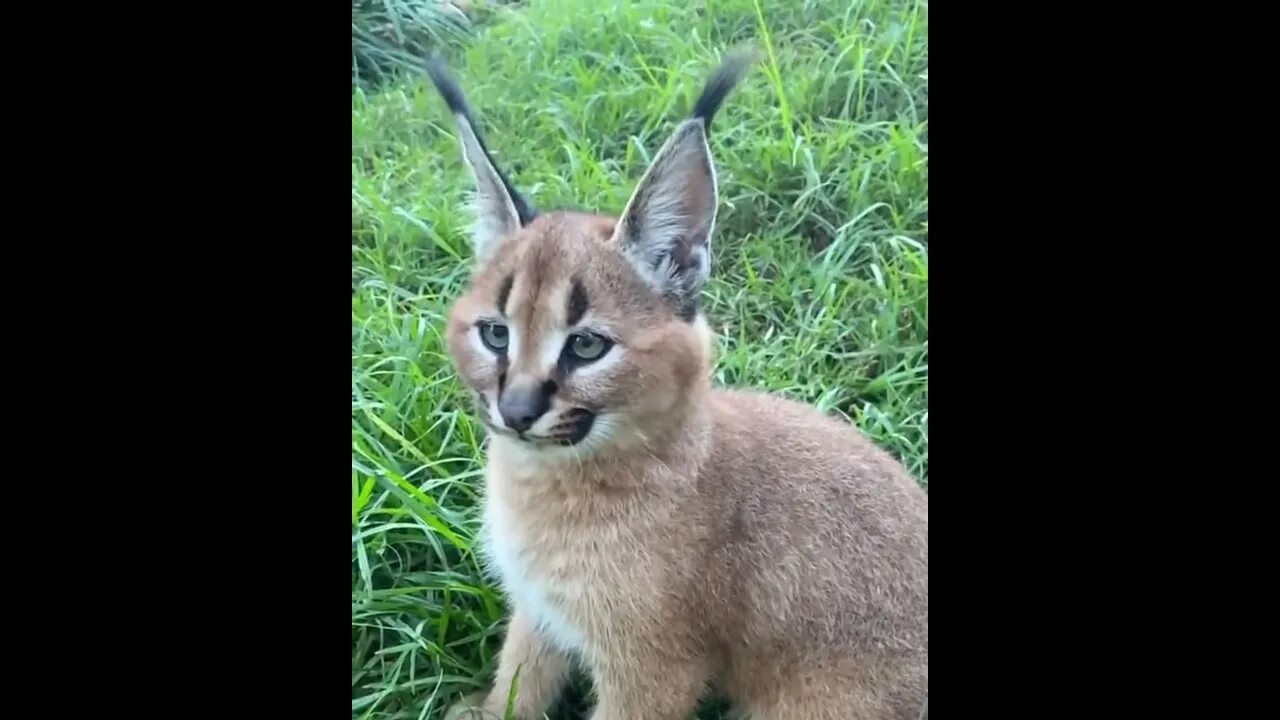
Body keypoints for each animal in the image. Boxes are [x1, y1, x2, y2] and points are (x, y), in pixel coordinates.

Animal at [424, 51, 926, 717]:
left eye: (587, 346)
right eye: (495, 335)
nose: (517, 410)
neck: (541, 482)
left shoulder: (652, 671)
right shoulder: (538, 608)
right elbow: (519, 680)